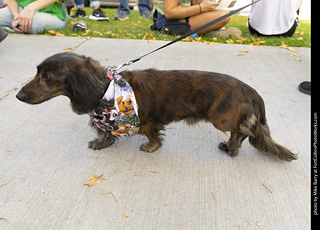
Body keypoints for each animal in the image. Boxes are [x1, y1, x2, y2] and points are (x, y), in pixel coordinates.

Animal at [16, 51, 298, 162]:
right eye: (38, 72)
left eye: (47, 77)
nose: (18, 96)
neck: (105, 90)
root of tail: (252, 92)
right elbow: (106, 133)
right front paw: (102, 143)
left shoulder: (148, 122)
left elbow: (152, 136)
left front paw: (150, 148)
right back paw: (230, 147)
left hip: (222, 117)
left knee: (242, 130)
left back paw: (232, 147)